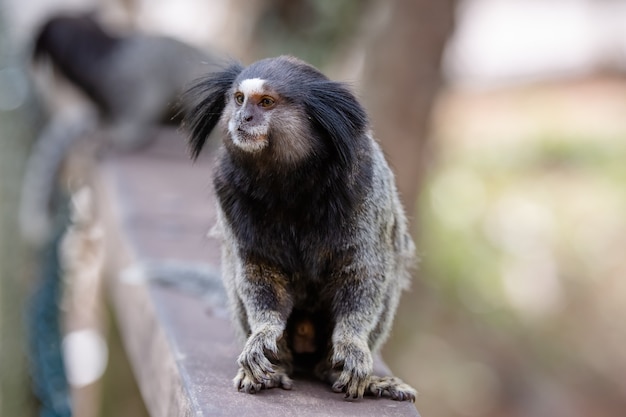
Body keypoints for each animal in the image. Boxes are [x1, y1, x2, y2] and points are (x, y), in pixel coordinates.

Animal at [184, 55, 414, 400]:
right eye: (239, 99)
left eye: (266, 102)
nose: (243, 117)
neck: (288, 182)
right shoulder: (226, 186)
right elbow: (257, 272)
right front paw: (263, 333)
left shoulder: (364, 180)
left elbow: (363, 272)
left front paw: (352, 343)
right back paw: (275, 369)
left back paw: (342, 373)